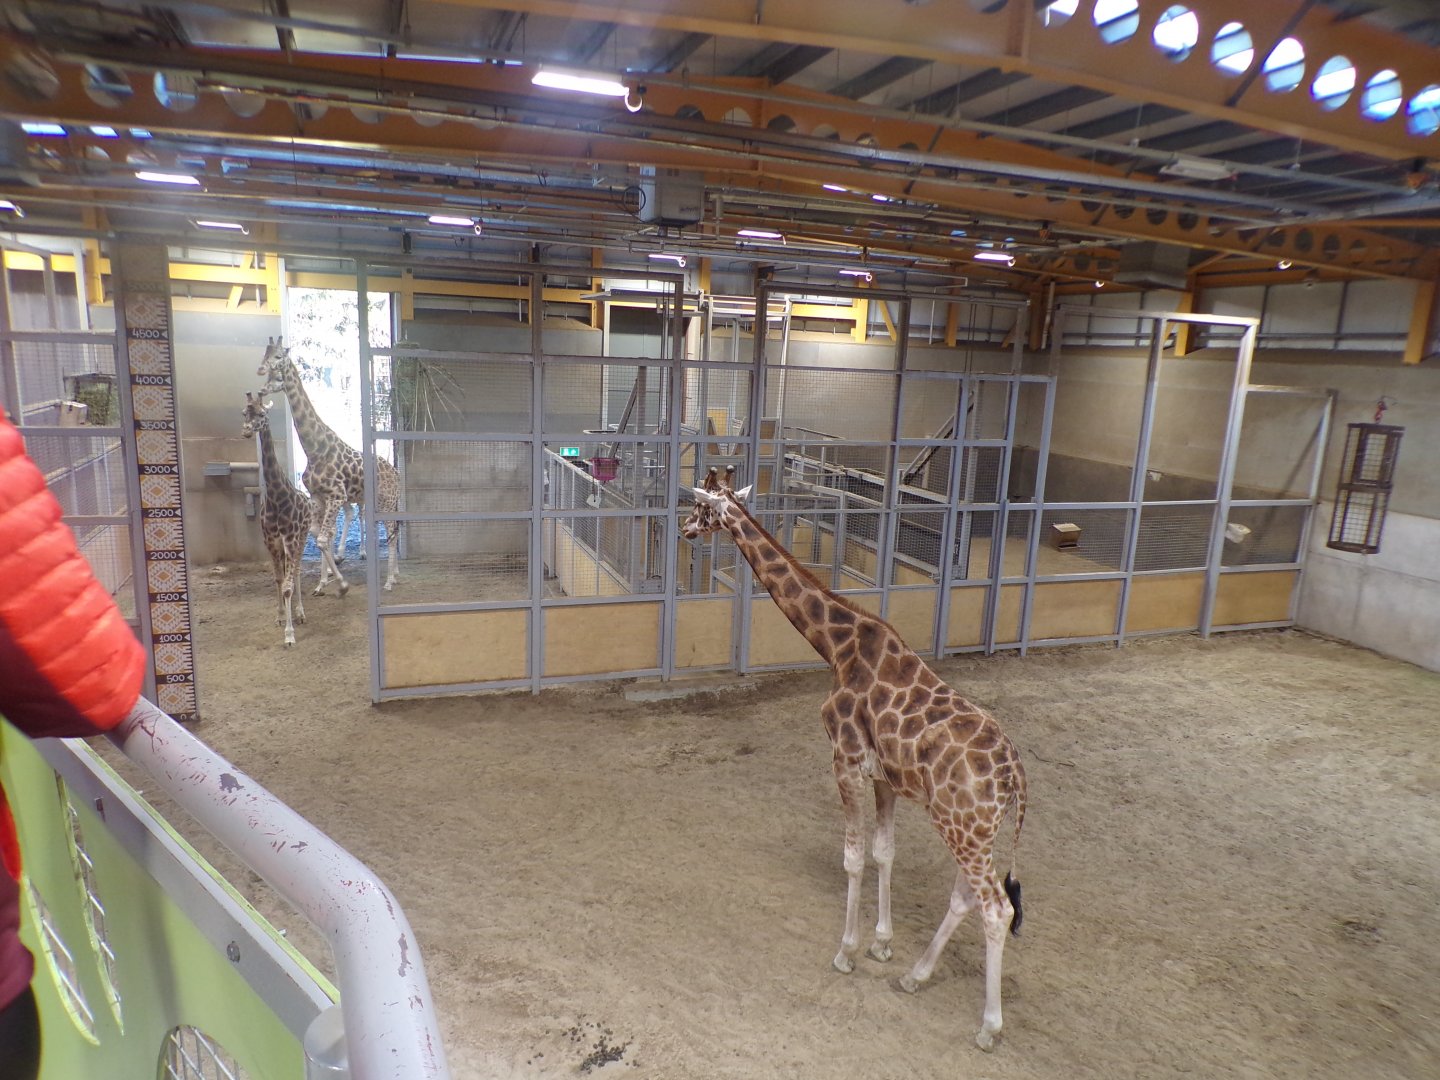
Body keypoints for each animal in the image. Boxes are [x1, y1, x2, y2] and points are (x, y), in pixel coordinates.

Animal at [241, 392, 316, 647]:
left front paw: (290, 633)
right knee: (287, 574)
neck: (276, 497)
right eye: (244, 413)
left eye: (262, 414)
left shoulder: (290, 540)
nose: (246, 430)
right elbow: (277, 580)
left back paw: (301, 613)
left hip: (302, 539)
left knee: (297, 572)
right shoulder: (271, 542)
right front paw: (280, 616)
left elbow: (287, 585)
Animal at [257, 338, 401, 594]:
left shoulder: (337, 495)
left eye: (278, 361)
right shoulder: (318, 496)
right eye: (265, 356)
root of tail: (394, 472)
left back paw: (388, 581)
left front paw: (341, 584)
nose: (260, 374)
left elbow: (324, 539)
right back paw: (393, 575)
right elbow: (319, 535)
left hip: (385, 502)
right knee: (392, 531)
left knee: (391, 533)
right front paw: (324, 582)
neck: (314, 449)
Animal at [681, 467, 1027, 1052]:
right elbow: (884, 852)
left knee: (996, 908)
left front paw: (845, 951)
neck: (836, 647)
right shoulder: (885, 776)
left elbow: (854, 857)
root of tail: (1016, 782)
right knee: (967, 897)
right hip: (980, 831)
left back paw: (989, 1026)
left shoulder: (843, 758)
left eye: (702, 507)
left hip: (961, 826)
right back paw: (914, 976)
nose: (685, 529)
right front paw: (882, 944)